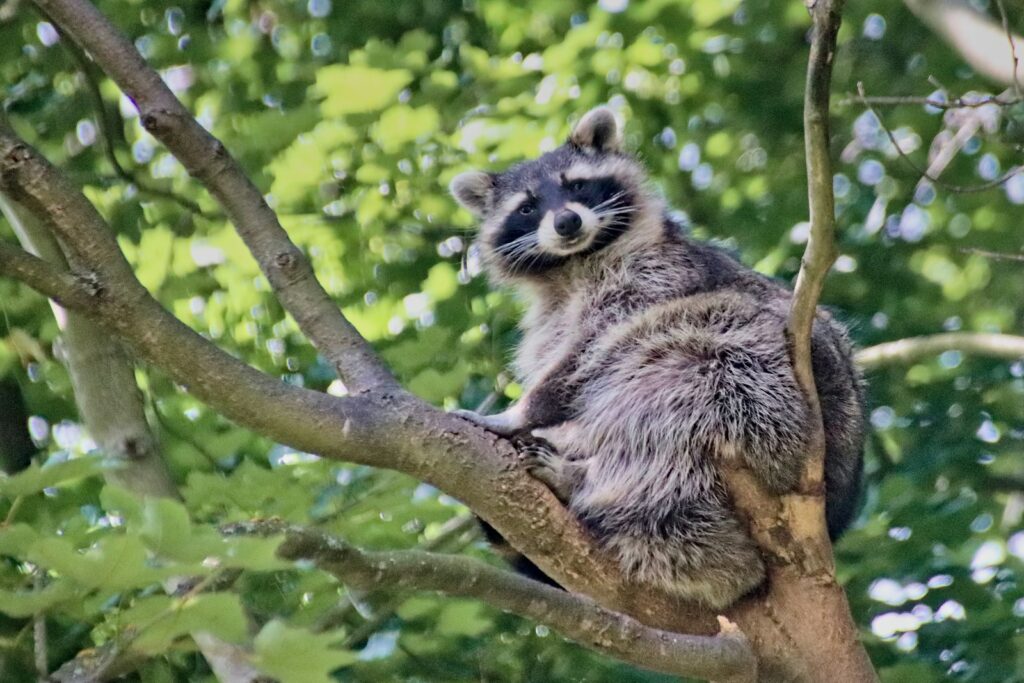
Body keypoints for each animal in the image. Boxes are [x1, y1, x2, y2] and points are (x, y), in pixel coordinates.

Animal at [450, 107, 865, 609]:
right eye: (527, 207)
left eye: (577, 186)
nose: (566, 222)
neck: (573, 265)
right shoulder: (550, 318)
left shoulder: (657, 275)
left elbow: (589, 357)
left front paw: (519, 412)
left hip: (772, 396)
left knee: (671, 389)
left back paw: (585, 480)